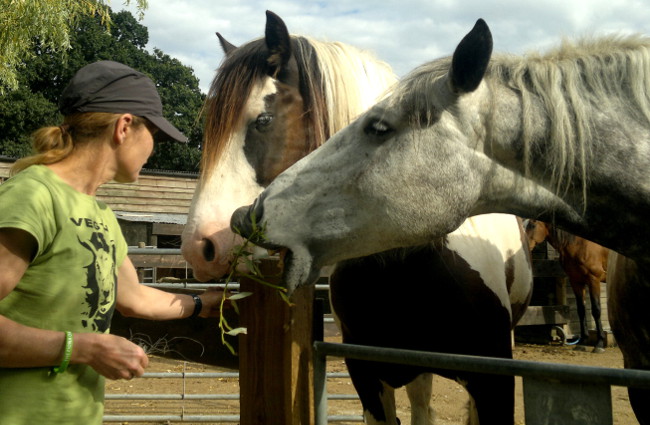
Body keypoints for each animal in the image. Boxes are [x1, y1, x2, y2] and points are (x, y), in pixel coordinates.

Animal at [520, 220, 608, 352]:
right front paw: (582, 342)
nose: (523, 247)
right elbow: (581, 310)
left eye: (533, 225)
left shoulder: (594, 280)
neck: (580, 244)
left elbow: (596, 310)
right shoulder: (576, 282)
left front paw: (599, 343)